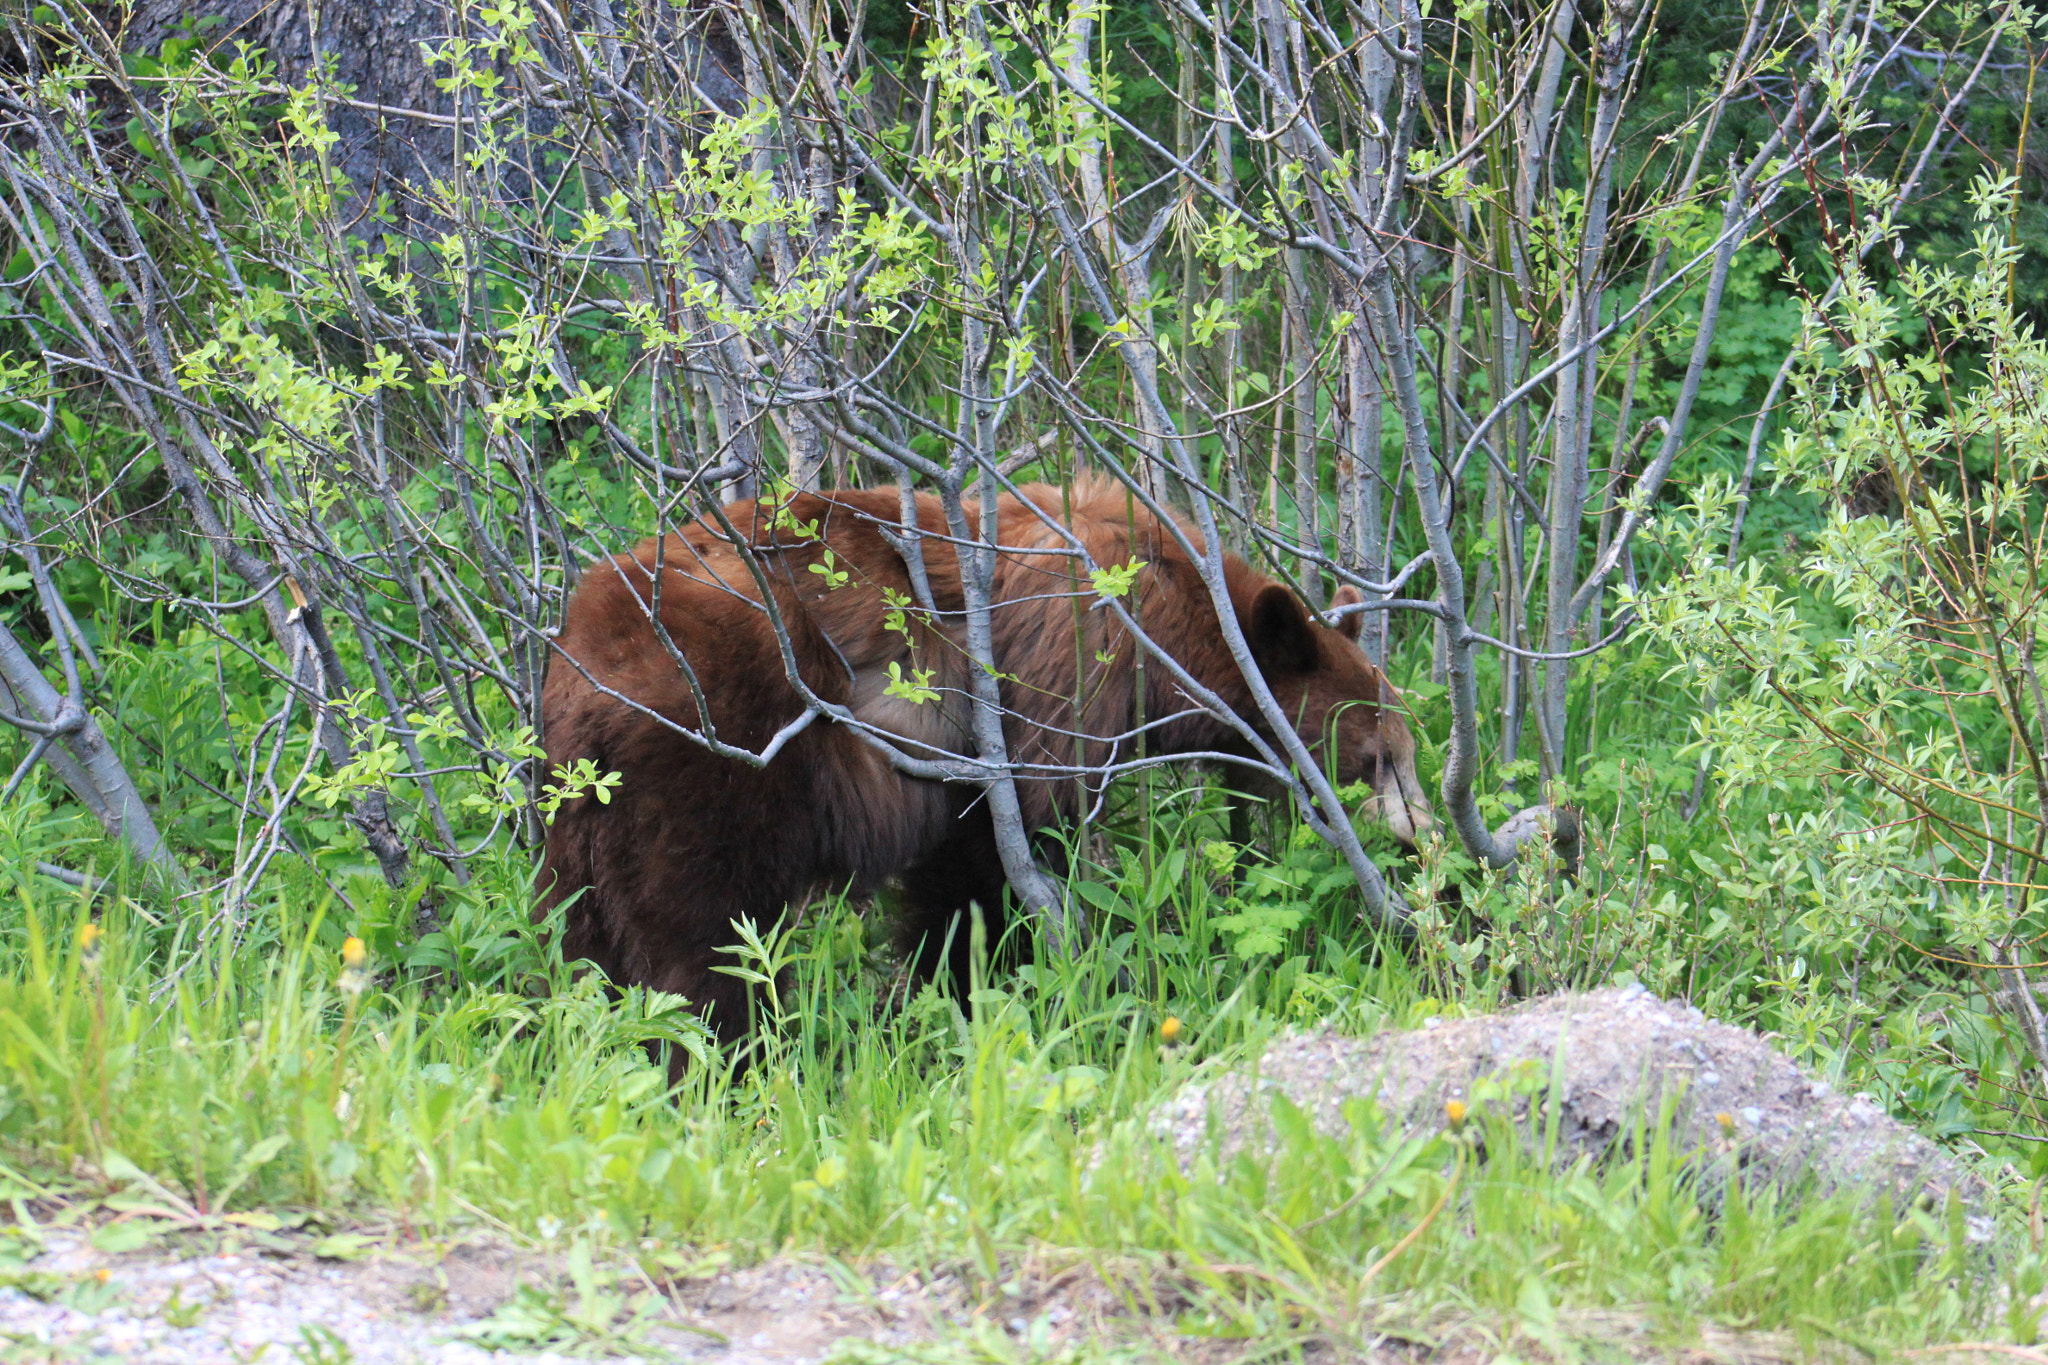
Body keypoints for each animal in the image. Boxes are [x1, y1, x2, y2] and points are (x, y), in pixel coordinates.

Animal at [536, 480, 1433, 1047]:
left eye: (1407, 750)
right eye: (1380, 755)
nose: (1424, 835)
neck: (1171, 631)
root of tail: (587, 660)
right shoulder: (1064, 664)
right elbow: (1013, 841)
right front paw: (981, 982)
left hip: (580, 807)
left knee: (587, 936)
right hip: (706, 758)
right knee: (704, 935)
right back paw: (730, 1061)